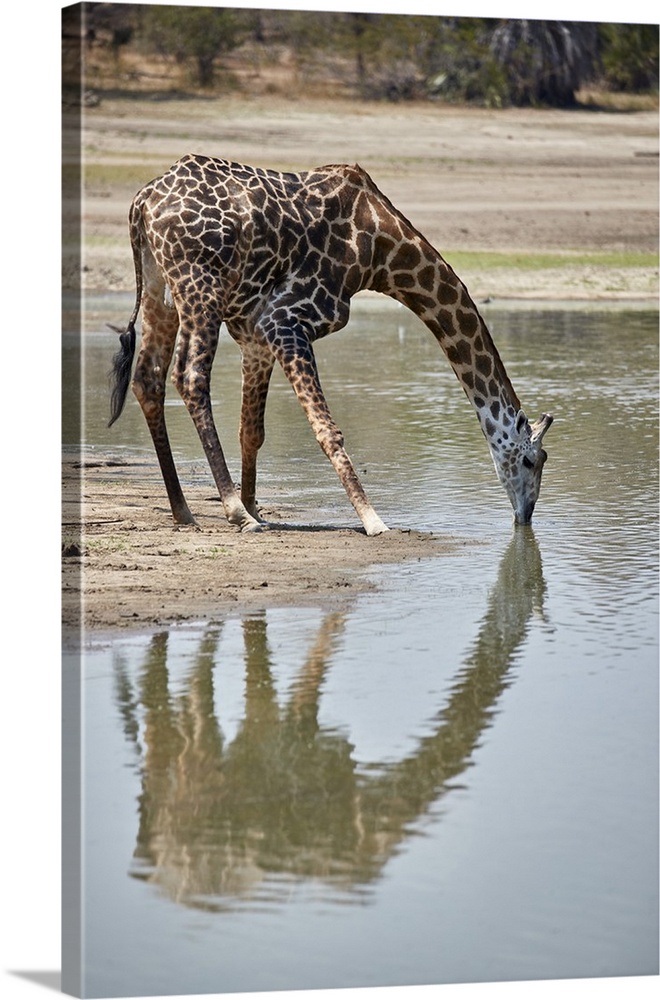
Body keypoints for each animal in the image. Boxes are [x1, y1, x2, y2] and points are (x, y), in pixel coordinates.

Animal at [109, 153, 552, 536]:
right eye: (532, 459)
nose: (526, 515)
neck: (380, 251)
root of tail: (142, 203)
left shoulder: (255, 334)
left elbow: (251, 430)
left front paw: (256, 506)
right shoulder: (286, 320)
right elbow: (327, 429)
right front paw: (373, 520)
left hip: (160, 291)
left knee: (148, 377)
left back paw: (184, 510)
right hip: (200, 289)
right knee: (190, 376)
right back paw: (233, 512)